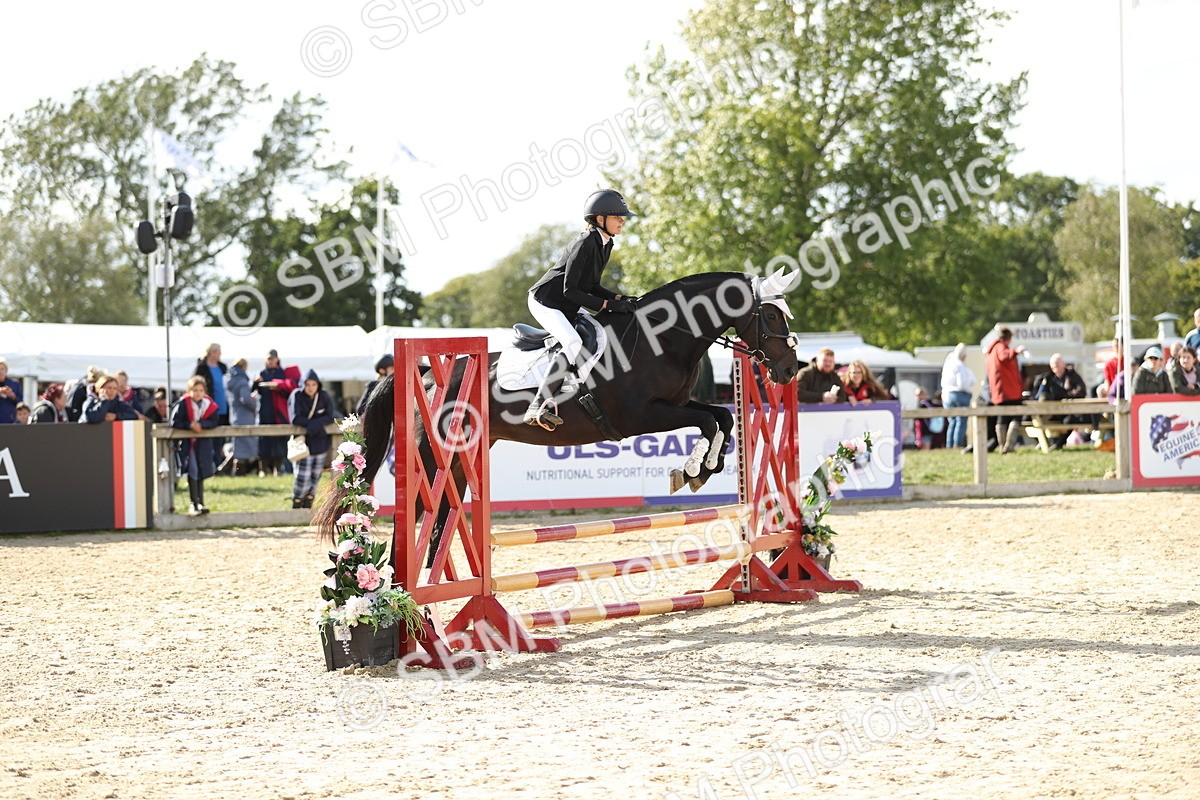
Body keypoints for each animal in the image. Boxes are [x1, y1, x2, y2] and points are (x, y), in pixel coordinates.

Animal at [315, 269, 803, 543]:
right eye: (770, 315)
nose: (790, 369)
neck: (662, 335)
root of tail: (426, 373)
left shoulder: (676, 404)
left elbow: (721, 418)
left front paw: (701, 469)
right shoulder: (642, 416)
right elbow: (708, 421)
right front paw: (694, 469)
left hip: (459, 459)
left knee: (436, 522)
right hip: (434, 454)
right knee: (415, 515)